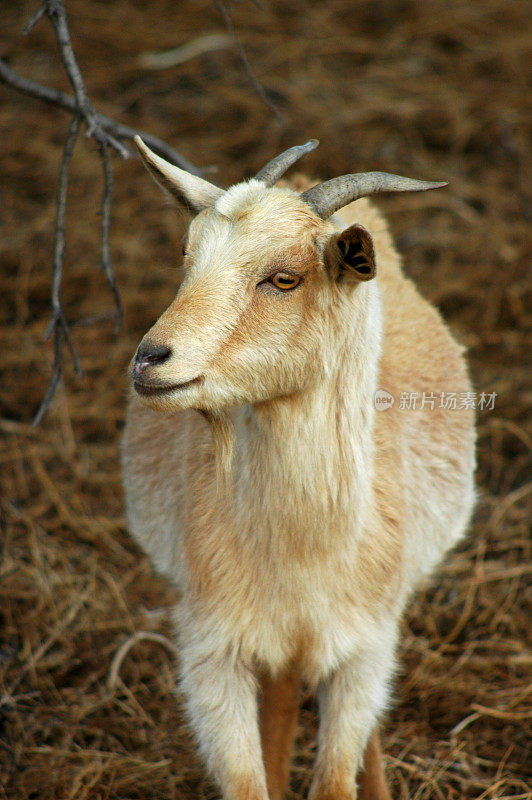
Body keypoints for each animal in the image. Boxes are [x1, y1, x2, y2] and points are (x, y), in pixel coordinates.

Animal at [122, 139, 476, 800]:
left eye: (285, 278)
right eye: (187, 256)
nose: (151, 359)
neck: (302, 550)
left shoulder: (365, 649)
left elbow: (337, 777)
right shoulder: (214, 648)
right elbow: (248, 780)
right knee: (283, 701)